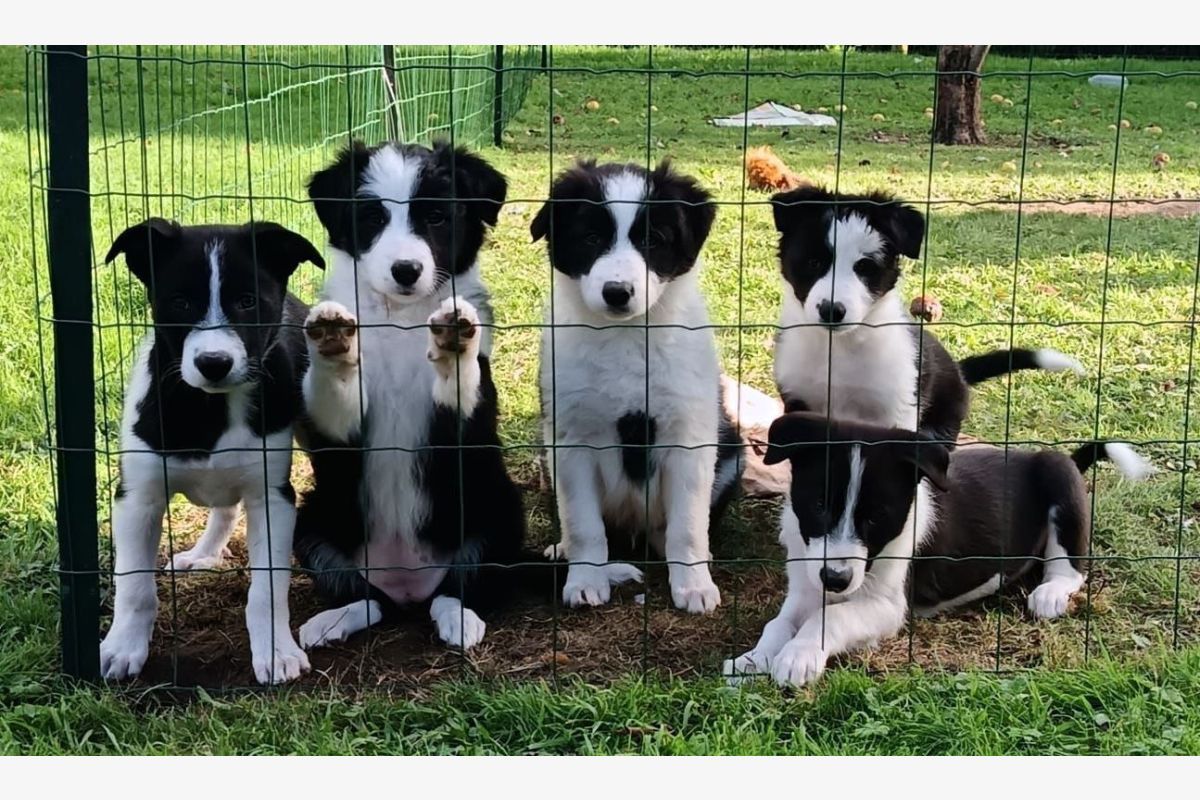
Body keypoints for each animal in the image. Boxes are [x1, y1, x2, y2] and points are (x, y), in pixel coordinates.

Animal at [292, 139, 528, 652]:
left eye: (437, 217)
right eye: (372, 217)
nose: (406, 270)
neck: (400, 318)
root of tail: (407, 584)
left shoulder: (468, 419)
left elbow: (462, 385)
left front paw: (454, 338)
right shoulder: (342, 428)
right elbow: (335, 396)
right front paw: (334, 342)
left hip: (501, 509)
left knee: (458, 588)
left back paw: (460, 619)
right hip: (313, 518)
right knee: (367, 600)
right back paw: (331, 622)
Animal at [532, 160, 739, 614]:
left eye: (652, 240)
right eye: (591, 238)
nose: (617, 293)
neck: (626, 336)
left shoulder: (689, 434)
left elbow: (688, 524)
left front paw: (694, 585)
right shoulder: (570, 439)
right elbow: (584, 522)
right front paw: (585, 581)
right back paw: (563, 548)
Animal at [720, 412, 1152, 690]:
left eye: (876, 517)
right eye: (819, 505)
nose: (837, 579)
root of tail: (1034, 454)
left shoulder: (888, 606)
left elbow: (831, 617)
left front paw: (799, 655)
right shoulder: (807, 583)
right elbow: (779, 622)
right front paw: (754, 658)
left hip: (1057, 472)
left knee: (1070, 567)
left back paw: (1049, 593)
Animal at [768, 185, 1089, 443]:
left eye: (865, 268)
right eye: (813, 262)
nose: (831, 310)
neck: (839, 349)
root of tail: (958, 370)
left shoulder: (897, 410)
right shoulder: (799, 404)